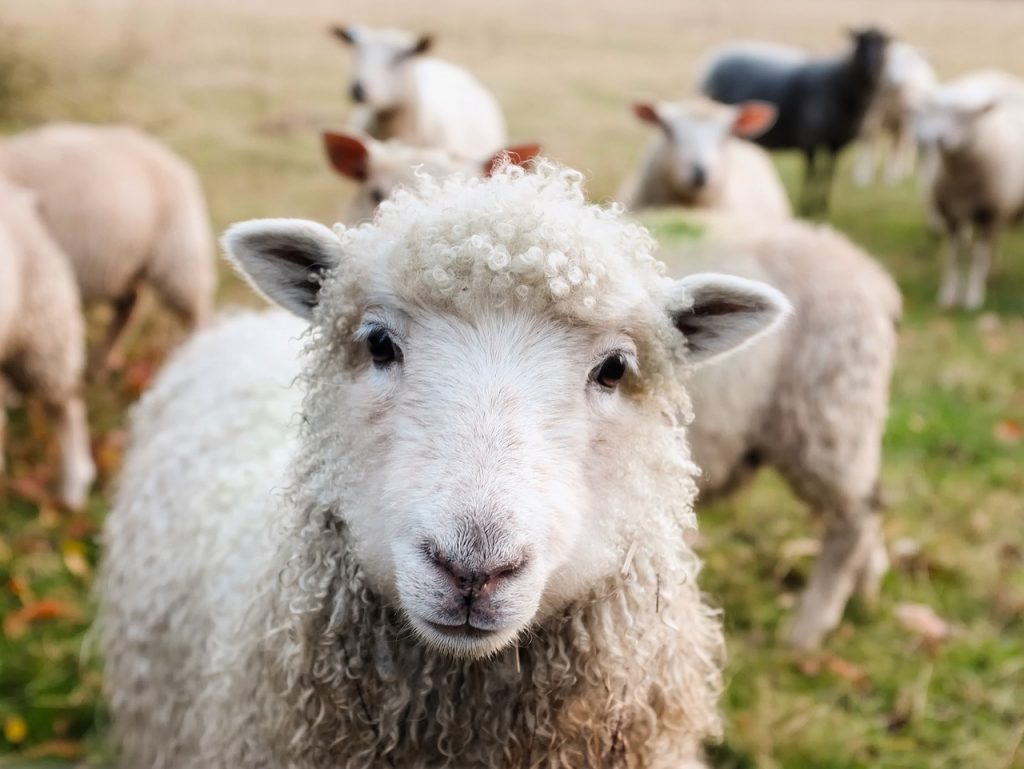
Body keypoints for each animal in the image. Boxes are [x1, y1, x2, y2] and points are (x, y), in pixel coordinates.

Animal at [0, 123, 215, 369]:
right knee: (129, 305)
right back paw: (104, 361)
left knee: (197, 311)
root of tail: (171, 158)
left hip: (179, 256)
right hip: (123, 263)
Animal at [700, 28, 890, 214]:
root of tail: (715, 57)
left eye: (883, 45)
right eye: (861, 42)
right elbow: (811, 173)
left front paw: (822, 205)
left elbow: (828, 173)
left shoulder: (836, 144)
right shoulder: (809, 140)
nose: (871, 68)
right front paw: (807, 206)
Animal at [913, 80, 1024, 310]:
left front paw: (973, 297)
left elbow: (977, 257)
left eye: (966, 116)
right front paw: (948, 296)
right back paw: (993, 270)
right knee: (994, 241)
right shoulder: (951, 216)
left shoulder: (988, 214)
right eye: (936, 112)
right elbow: (954, 257)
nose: (938, 139)